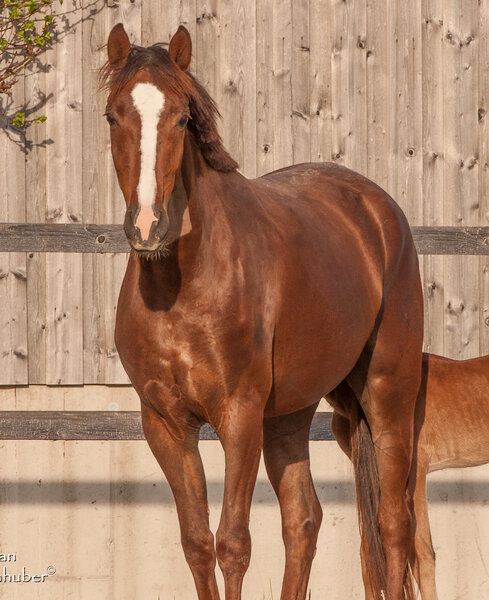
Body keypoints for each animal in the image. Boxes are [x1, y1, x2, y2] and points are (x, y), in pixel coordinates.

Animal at [101, 23, 424, 600]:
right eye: (113, 116)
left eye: (181, 118)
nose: (147, 226)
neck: (182, 285)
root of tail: (380, 211)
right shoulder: (166, 424)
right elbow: (197, 543)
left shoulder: (240, 416)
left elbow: (233, 543)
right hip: (290, 416)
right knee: (304, 520)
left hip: (388, 397)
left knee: (392, 524)